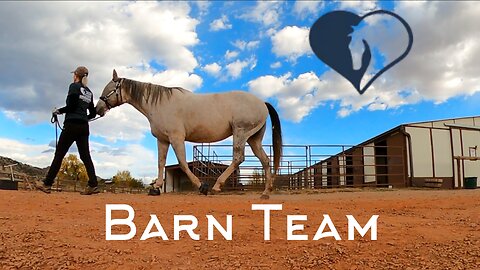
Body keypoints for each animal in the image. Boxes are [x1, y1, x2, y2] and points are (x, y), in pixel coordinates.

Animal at [95, 70, 282, 199]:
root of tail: (262, 103)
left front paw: (201, 187)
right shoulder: (163, 140)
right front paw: (156, 187)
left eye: (108, 89)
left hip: (240, 133)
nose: (97, 109)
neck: (160, 104)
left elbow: (183, 163)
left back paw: (216, 186)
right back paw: (265, 193)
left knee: (238, 158)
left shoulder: (176, 137)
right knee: (265, 160)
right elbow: (160, 163)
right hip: (253, 139)